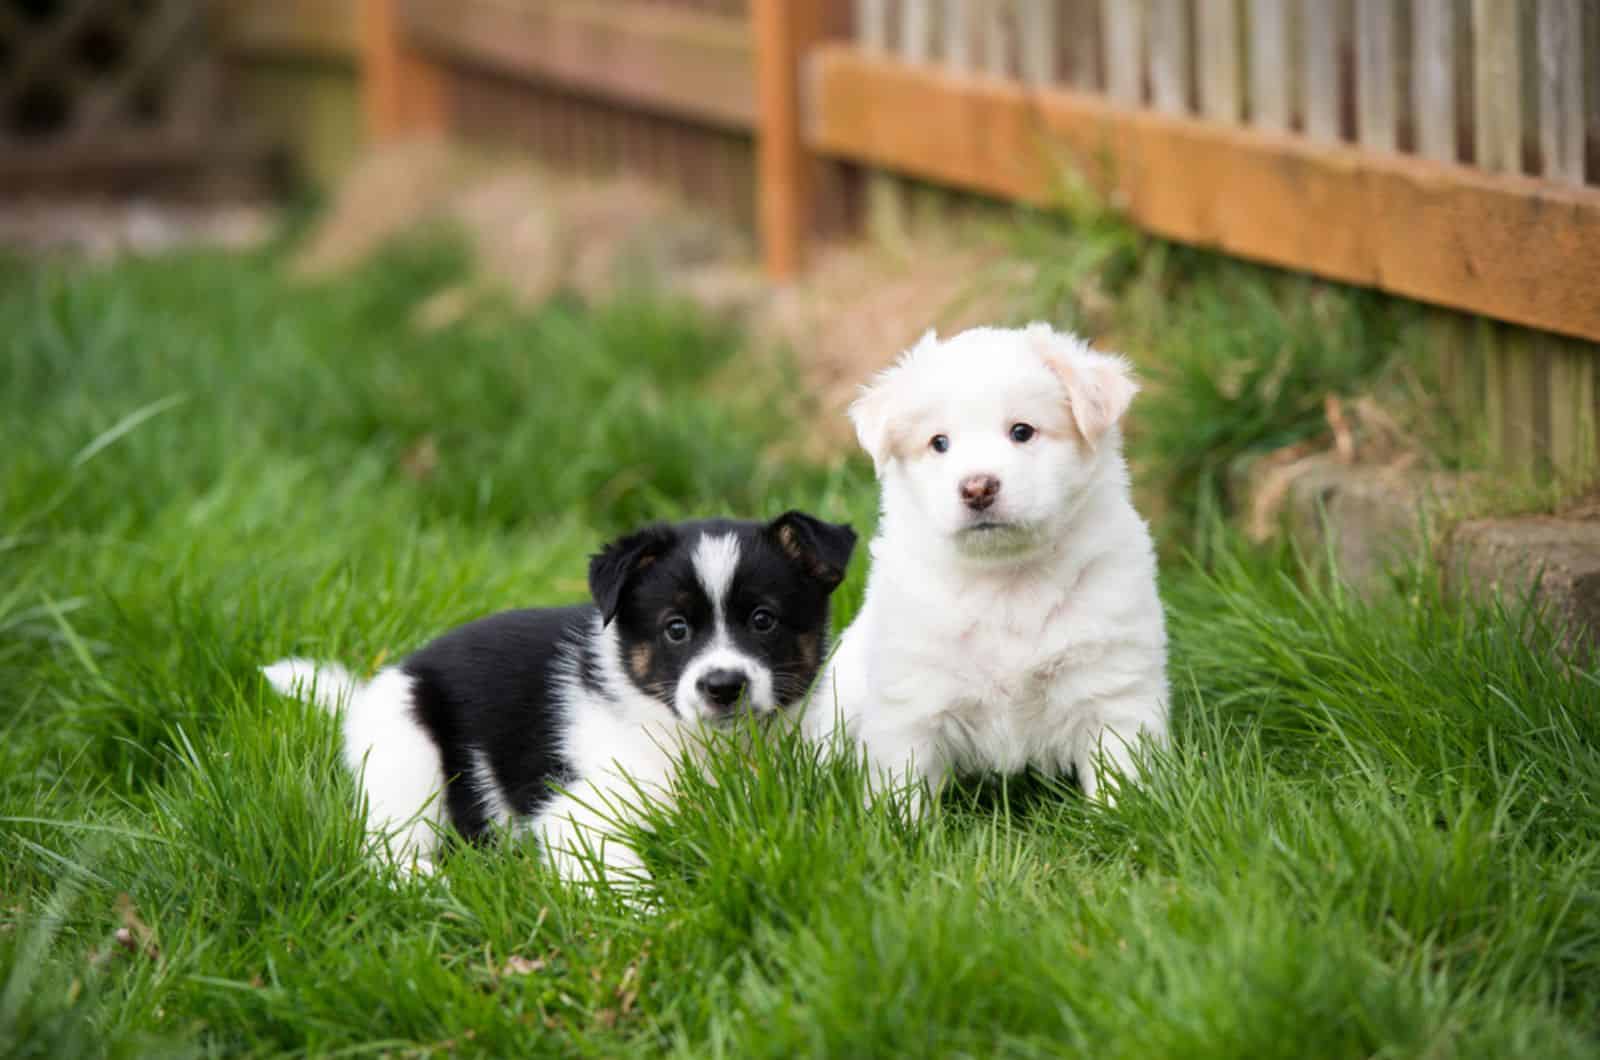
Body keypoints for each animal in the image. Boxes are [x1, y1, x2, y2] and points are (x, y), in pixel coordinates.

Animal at [268, 515, 857, 890]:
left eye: (763, 620)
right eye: (676, 629)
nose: (723, 686)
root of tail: (367, 695)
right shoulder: (579, 812)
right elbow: (622, 877)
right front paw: (655, 917)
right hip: (406, 751)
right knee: (384, 847)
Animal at [806, 323, 1171, 807]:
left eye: (1022, 431)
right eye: (939, 443)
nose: (977, 487)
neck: (1006, 579)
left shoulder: (1112, 688)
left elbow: (1120, 778)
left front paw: (1119, 816)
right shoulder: (910, 701)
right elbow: (904, 788)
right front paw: (901, 823)